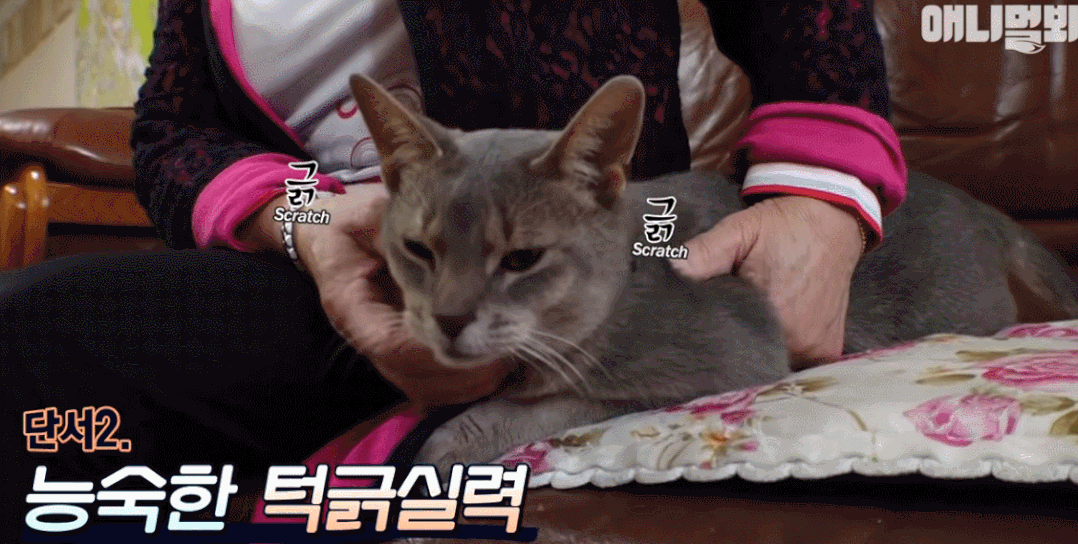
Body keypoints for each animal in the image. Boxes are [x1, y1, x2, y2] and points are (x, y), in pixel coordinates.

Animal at [347, 73, 1078, 473]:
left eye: (521, 258)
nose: (448, 317)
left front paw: (446, 443)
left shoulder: (721, 356)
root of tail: (981, 207)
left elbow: (548, 403)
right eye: (418, 249)